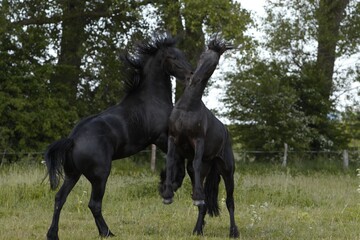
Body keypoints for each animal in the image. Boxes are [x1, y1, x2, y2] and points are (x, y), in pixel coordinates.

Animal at [45, 34, 194, 240]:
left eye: (182, 54)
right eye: (172, 57)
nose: (191, 74)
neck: (152, 100)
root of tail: (72, 140)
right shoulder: (160, 138)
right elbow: (179, 159)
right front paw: (170, 184)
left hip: (72, 174)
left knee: (60, 198)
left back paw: (53, 234)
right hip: (100, 175)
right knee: (94, 204)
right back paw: (107, 232)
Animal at [160, 38, 239, 237]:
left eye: (216, 59)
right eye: (203, 54)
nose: (194, 77)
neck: (188, 107)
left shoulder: (198, 141)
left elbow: (195, 161)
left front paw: (194, 197)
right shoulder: (172, 139)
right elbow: (170, 162)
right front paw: (167, 195)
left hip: (227, 171)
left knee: (230, 201)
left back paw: (233, 231)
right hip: (206, 171)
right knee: (203, 204)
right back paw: (197, 229)